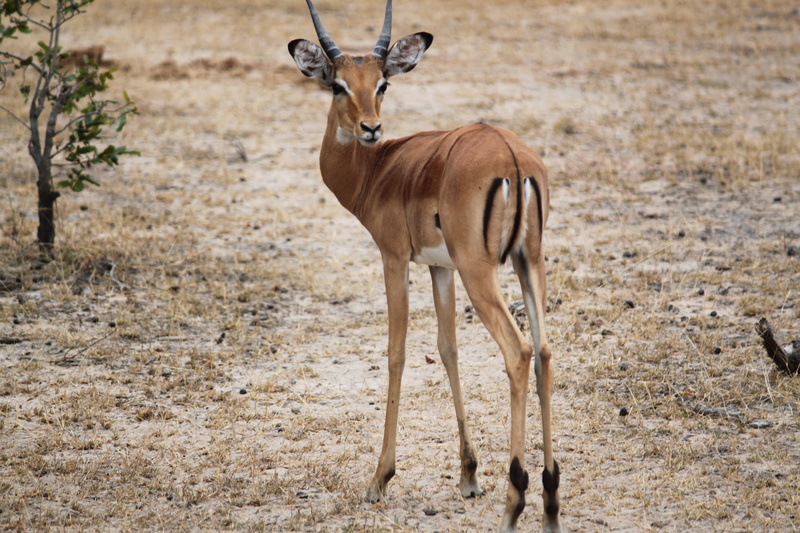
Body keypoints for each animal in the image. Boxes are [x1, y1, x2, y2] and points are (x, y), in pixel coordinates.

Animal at [288, 1, 560, 531]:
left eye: (382, 83)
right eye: (338, 84)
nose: (371, 128)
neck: (378, 171)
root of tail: (512, 159)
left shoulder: (394, 258)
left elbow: (397, 352)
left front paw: (378, 480)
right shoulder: (440, 268)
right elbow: (448, 348)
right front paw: (469, 475)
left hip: (483, 273)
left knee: (518, 352)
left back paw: (514, 501)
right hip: (528, 264)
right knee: (543, 352)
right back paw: (551, 502)